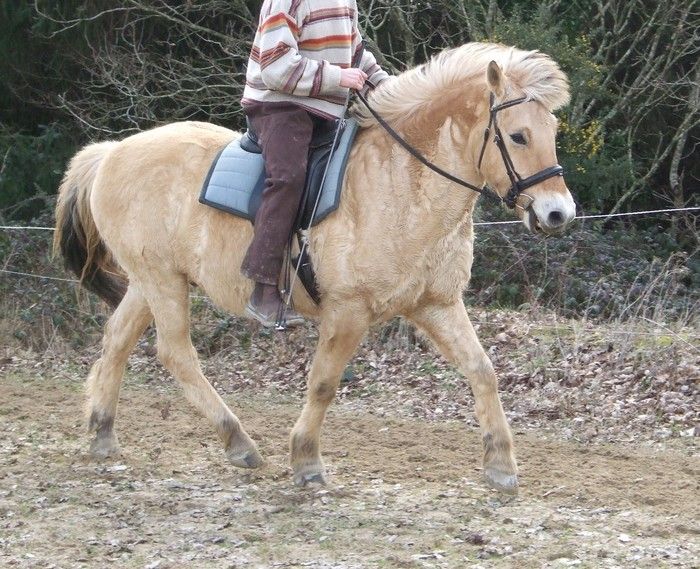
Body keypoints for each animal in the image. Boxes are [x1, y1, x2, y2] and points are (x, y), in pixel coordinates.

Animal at [54, 42, 575, 493]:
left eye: (551, 133)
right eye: (517, 136)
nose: (558, 214)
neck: (403, 181)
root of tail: (111, 152)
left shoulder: (436, 305)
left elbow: (482, 370)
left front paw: (501, 465)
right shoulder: (348, 310)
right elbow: (324, 382)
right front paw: (306, 460)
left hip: (151, 281)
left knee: (117, 340)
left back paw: (103, 434)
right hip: (161, 281)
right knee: (176, 354)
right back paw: (238, 442)